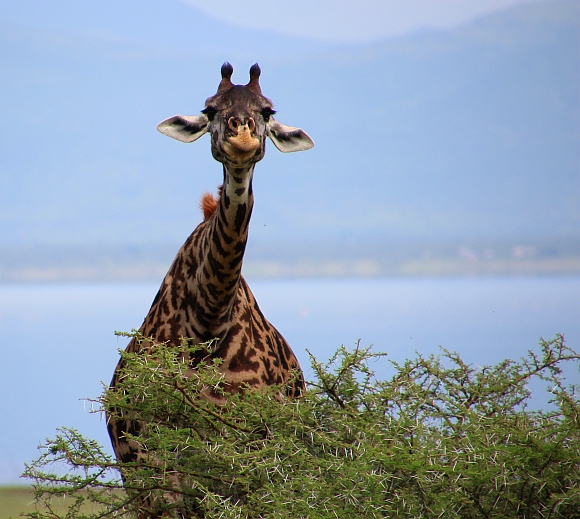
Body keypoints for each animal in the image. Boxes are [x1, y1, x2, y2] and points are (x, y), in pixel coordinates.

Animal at [106, 63, 314, 516]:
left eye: (267, 111)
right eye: (210, 109)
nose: (242, 137)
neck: (208, 316)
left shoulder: (247, 459)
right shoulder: (159, 464)